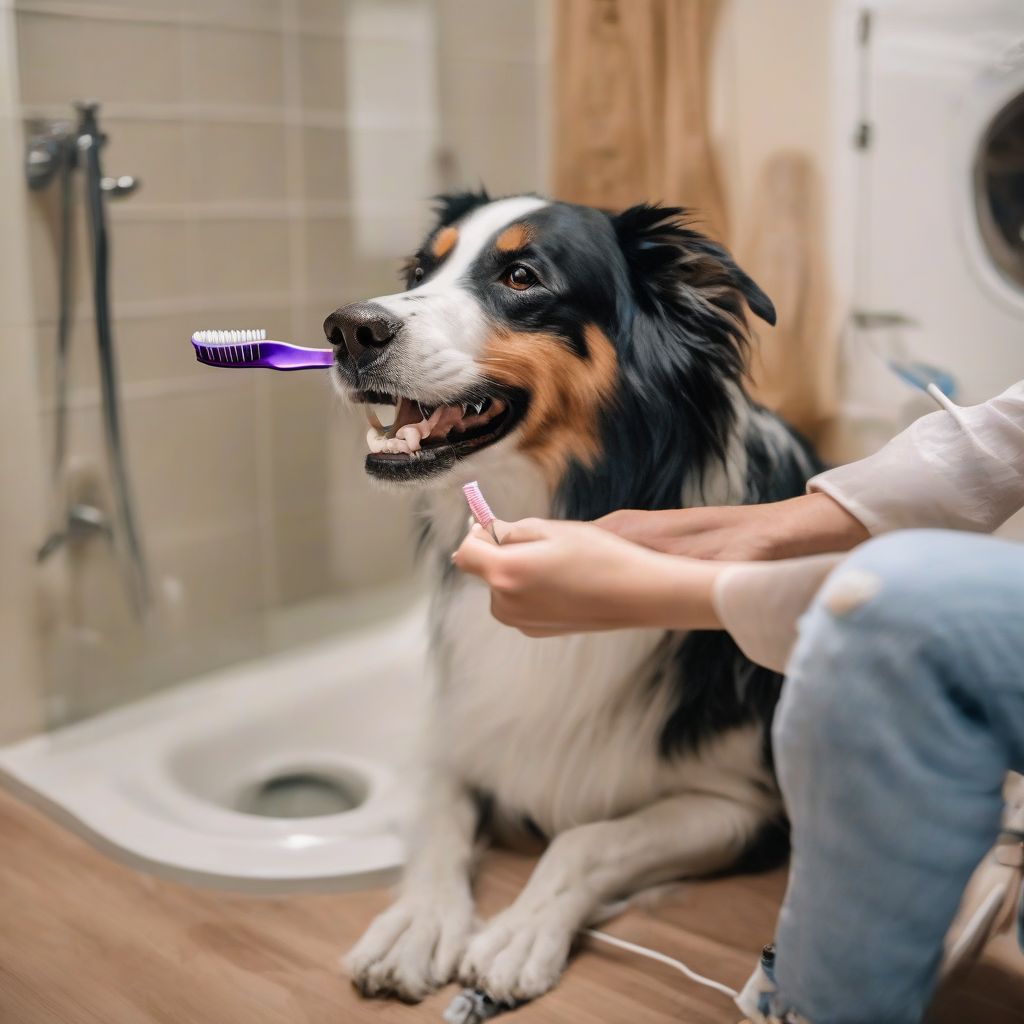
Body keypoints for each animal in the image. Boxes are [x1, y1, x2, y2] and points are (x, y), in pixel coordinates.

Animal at [323, 190, 819, 999]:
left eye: (521, 276)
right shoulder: (461, 725)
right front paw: (417, 923)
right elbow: (439, 823)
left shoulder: (745, 803)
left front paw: (520, 931)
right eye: (421, 271)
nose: (345, 330)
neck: (566, 501)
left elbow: (588, 841)